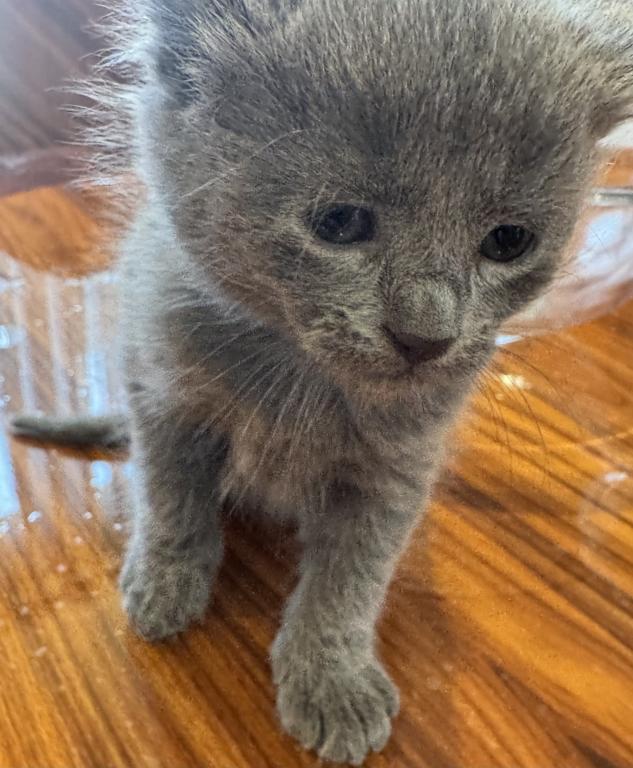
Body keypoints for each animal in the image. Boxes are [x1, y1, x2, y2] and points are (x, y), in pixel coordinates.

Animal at [12, 0, 633, 763]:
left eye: (508, 241)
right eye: (338, 222)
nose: (426, 337)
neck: (302, 382)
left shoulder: (394, 471)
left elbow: (350, 580)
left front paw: (330, 678)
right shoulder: (163, 391)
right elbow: (170, 499)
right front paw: (165, 582)